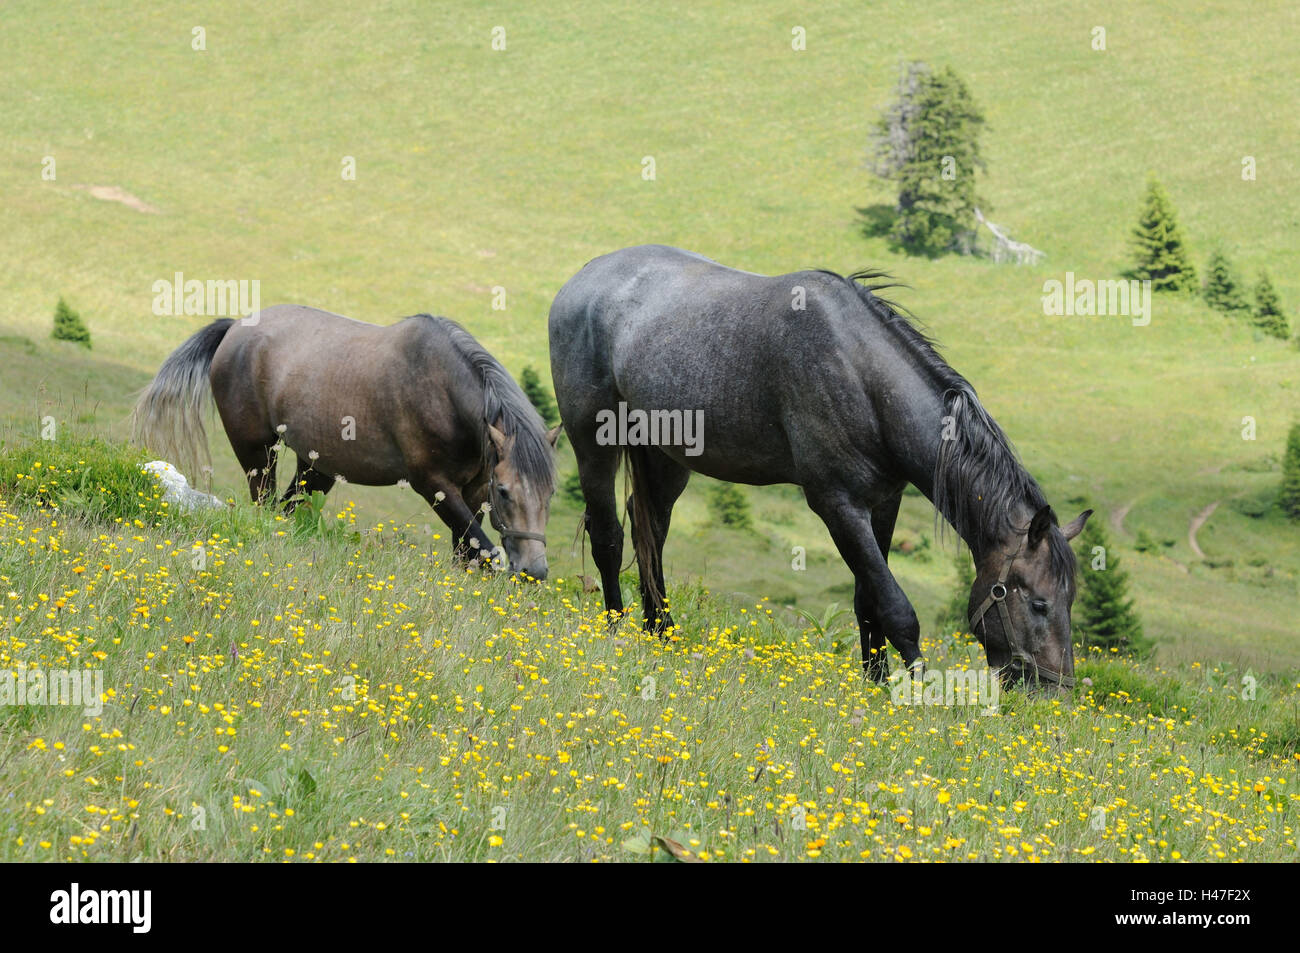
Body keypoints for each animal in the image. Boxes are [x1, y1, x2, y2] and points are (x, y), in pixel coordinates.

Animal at [130, 304, 559, 577]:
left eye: (549, 494)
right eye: (505, 491)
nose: (534, 571)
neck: (444, 393)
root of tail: (235, 327)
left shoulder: (471, 493)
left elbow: (467, 552)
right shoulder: (434, 486)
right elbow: (482, 551)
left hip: (315, 468)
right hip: (257, 453)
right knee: (264, 505)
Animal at [546, 245, 1086, 686]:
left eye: (1069, 599)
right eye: (1038, 602)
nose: (1052, 689)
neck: (863, 379)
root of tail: (582, 279)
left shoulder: (882, 504)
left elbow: (868, 600)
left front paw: (876, 682)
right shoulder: (838, 505)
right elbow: (896, 607)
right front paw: (917, 691)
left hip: (666, 458)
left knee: (649, 534)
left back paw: (660, 632)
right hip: (594, 442)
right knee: (609, 537)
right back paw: (617, 629)